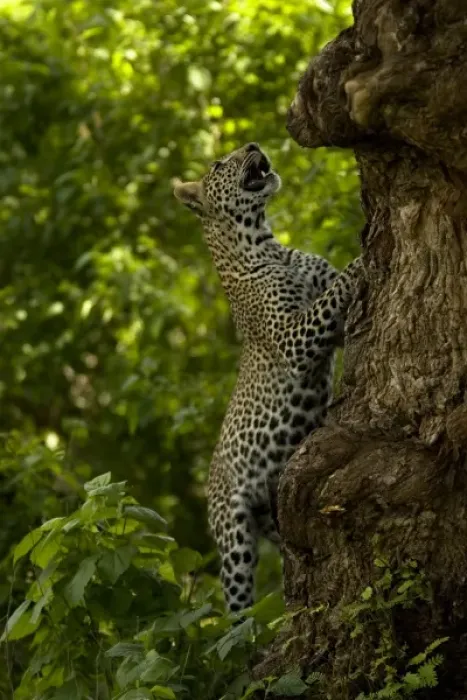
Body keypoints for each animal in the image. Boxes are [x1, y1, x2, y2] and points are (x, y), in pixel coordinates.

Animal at [174, 142, 362, 613]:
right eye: (218, 164)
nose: (253, 146)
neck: (265, 242)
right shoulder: (293, 337)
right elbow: (334, 292)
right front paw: (365, 256)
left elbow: (331, 288)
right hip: (234, 536)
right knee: (238, 608)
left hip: (280, 518)